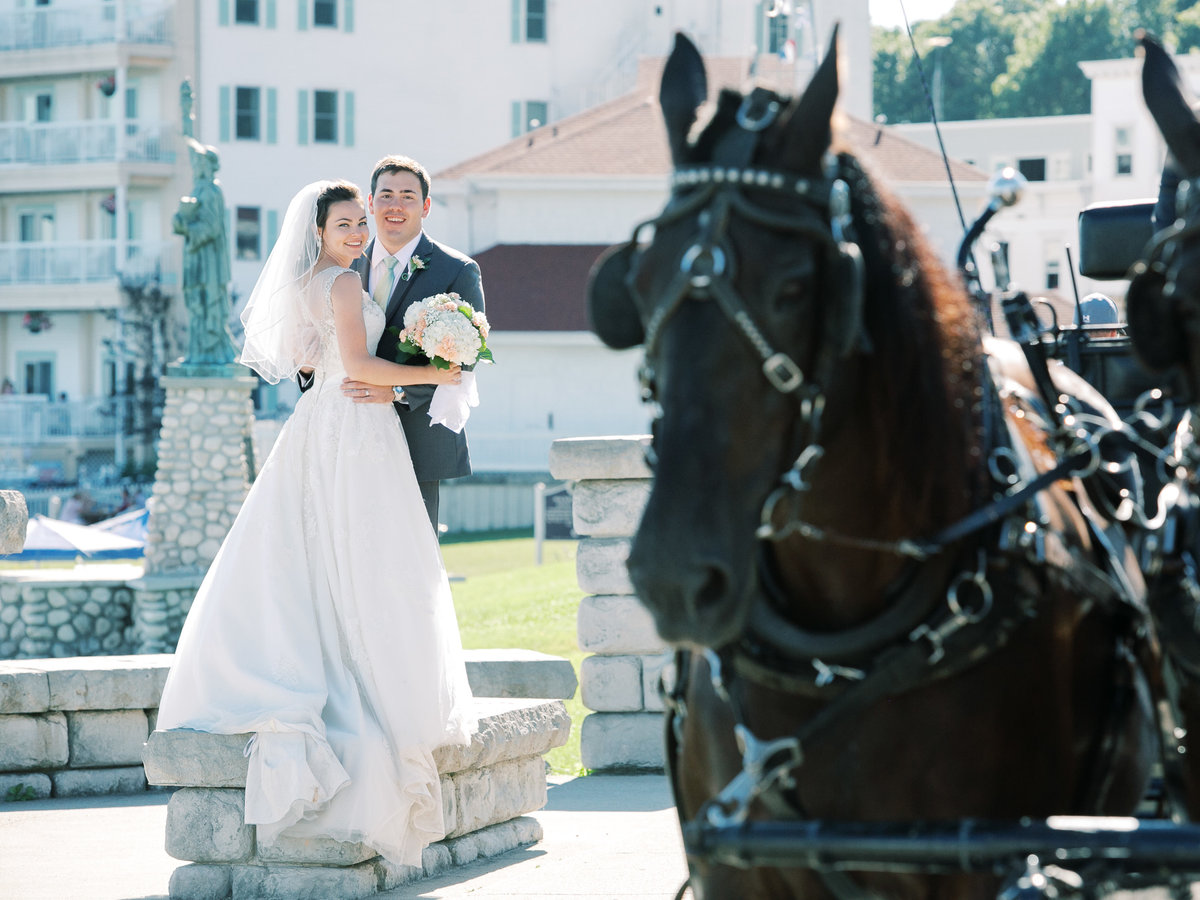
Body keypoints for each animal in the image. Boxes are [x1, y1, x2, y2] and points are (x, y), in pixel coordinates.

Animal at [590, 31, 1161, 897]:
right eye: (638, 279)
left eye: (794, 285)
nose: (674, 576)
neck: (842, 644)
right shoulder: (732, 865)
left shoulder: (987, 862)